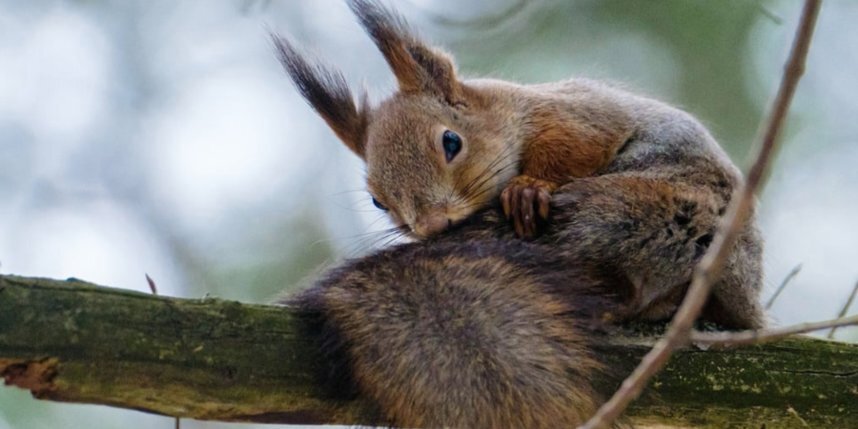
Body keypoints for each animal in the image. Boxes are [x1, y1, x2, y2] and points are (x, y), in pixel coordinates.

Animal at [274, 0, 764, 424]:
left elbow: (578, 147)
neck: (508, 112)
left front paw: (530, 189)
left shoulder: (575, 119)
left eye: (450, 142)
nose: (432, 226)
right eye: (378, 200)